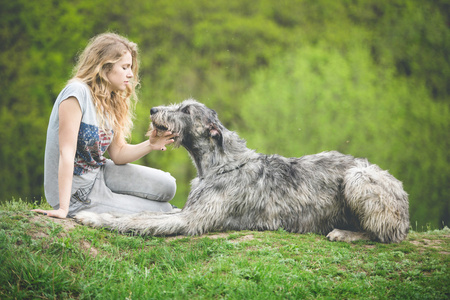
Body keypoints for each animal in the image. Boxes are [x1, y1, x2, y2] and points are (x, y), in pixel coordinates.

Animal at [75, 99, 410, 243]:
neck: (220, 164)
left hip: (359, 178)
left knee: (384, 234)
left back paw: (345, 233)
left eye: (186, 110)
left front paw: (93, 218)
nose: (154, 110)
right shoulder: (188, 210)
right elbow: (143, 214)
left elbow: (136, 220)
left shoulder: (191, 220)